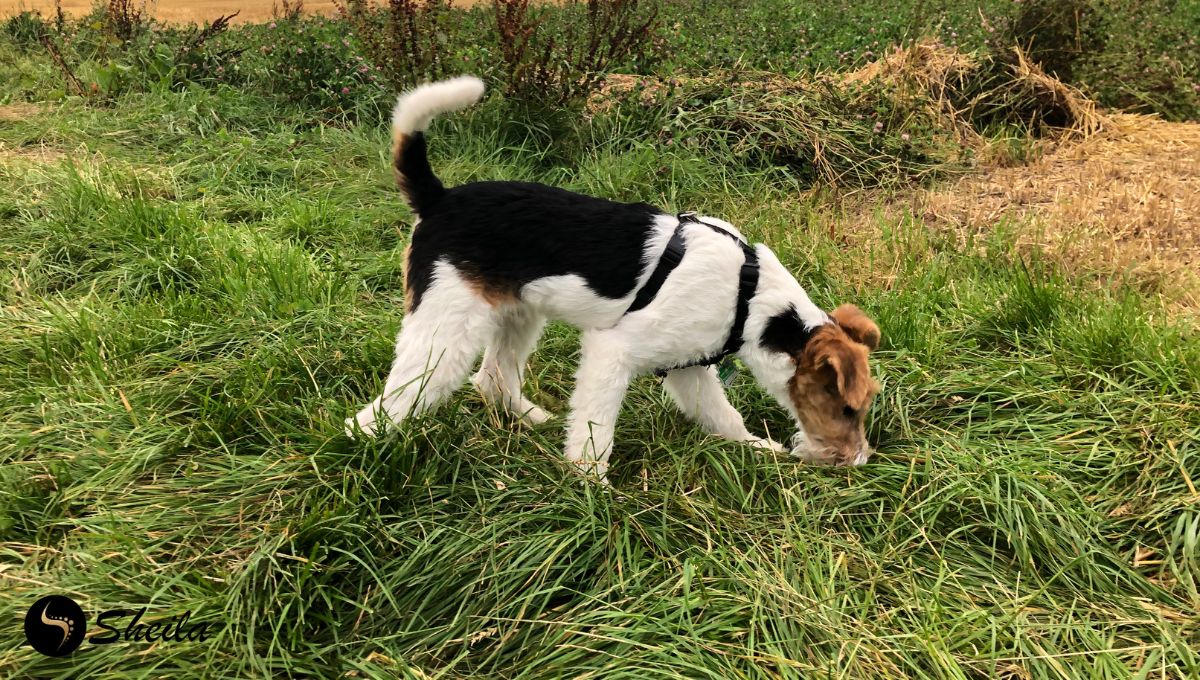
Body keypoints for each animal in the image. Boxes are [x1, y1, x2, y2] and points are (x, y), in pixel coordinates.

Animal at [348, 75, 883, 484]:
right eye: (847, 408)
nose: (859, 461)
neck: (748, 298)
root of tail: (437, 198)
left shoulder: (688, 368)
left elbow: (722, 415)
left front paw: (754, 447)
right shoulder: (613, 353)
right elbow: (594, 430)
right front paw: (593, 489)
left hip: (517, 315)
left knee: (493, 378)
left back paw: (535, 419)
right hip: (445, 333)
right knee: (385, 407)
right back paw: (362, 450)